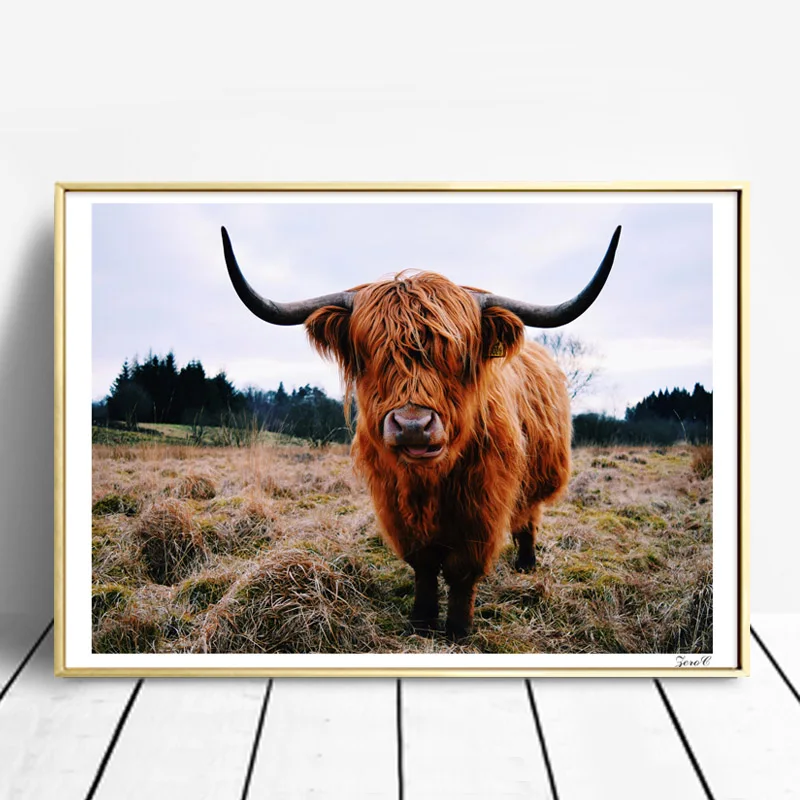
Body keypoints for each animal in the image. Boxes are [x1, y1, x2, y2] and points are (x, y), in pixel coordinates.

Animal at [222, 225, 621, 639]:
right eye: (369, 354)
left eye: (458, 355)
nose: (413, 425)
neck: (431, 482)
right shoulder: (395, 505)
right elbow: (424, 564)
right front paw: (423, 619)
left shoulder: (483, 506)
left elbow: (462, 571)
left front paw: (458, 628)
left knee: (528, 517)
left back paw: (526, 562)